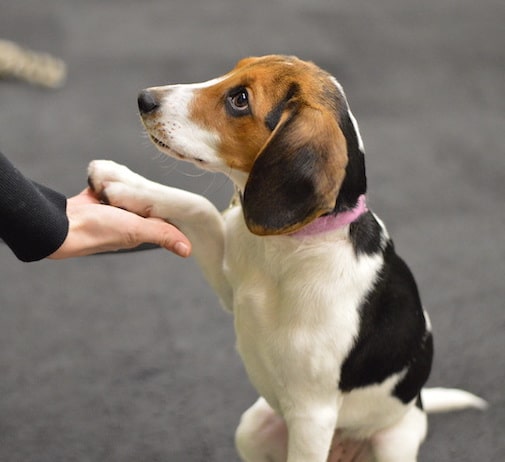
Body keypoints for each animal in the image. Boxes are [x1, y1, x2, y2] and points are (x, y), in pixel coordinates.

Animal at [86, 55, 484, 462]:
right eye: (235, 68)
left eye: (240, 100)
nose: (145, 99)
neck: (286, 248)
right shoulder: (229, 288)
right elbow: (199, 207)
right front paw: (125, 182)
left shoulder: (312, 415)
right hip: (253, 429)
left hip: (393, 441)